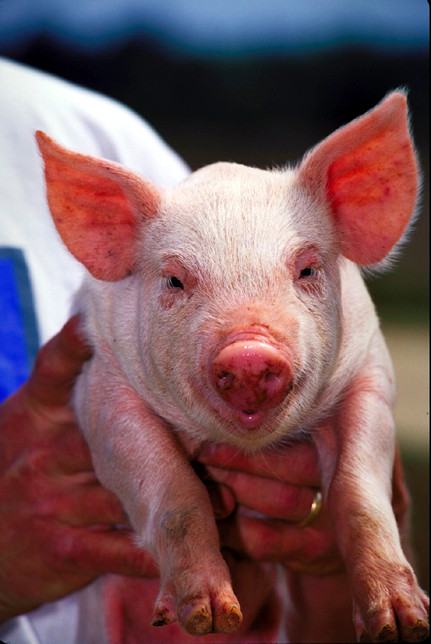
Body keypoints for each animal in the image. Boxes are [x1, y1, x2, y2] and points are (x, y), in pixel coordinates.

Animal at [36, 90, 429, 642]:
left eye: (307, 269)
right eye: (175, 280)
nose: (249, 351)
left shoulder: (370, 372)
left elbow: (361, 494)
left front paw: (402, 623)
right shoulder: (100, 385)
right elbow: (176, 491)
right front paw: (209, 616)